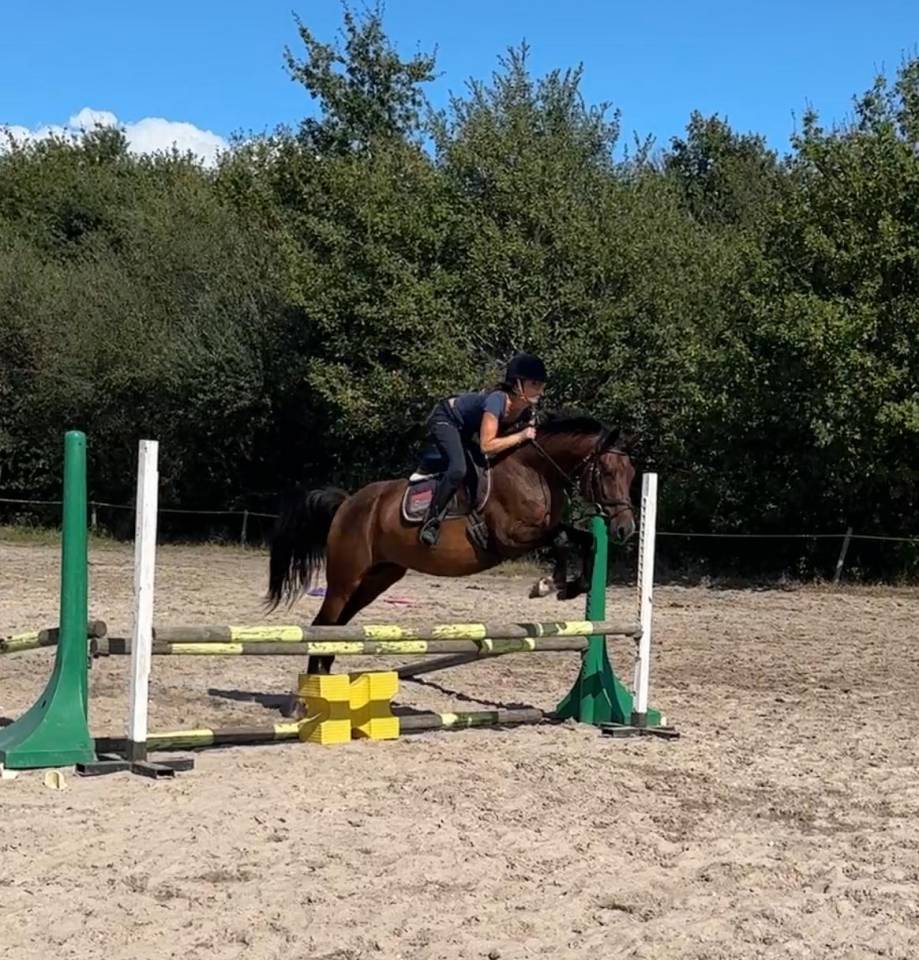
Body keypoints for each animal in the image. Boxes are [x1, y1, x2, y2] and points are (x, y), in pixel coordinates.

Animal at [266, 413, 637, 676]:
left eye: (632, 475)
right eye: (607, 472)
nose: (625, 529)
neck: (534, 471)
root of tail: (347, 503)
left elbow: (585, 540)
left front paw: (569, 587)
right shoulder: (509, 538)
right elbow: (561, 539)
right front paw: (547, 584)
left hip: (378, 577)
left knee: (338, 626)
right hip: (346, 576)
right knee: (323, 623)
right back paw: (310, 692)